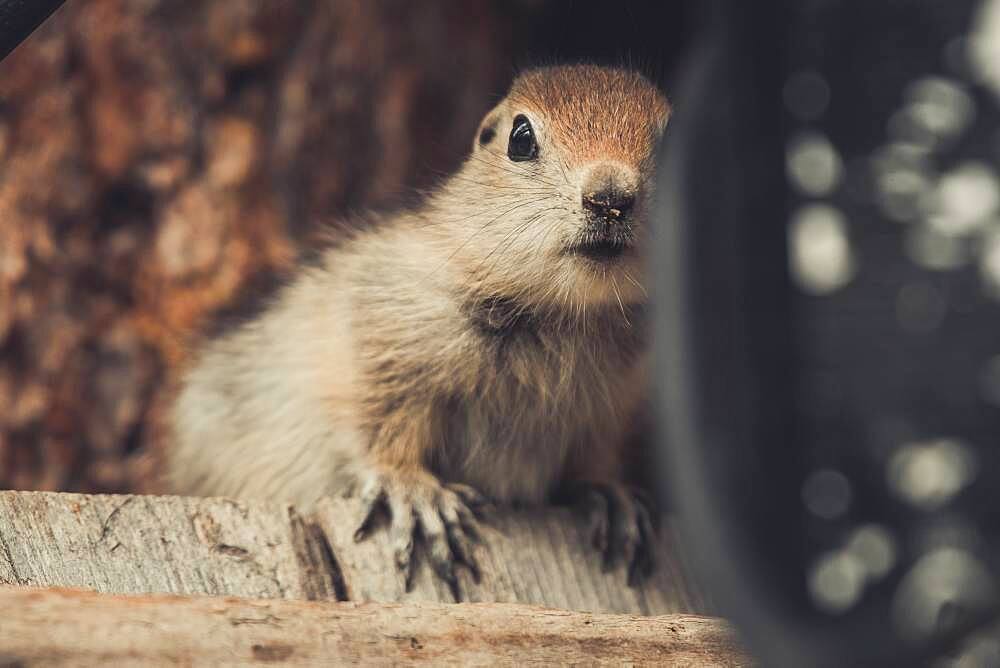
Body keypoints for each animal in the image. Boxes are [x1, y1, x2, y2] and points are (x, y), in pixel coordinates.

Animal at [168, 64, 672, 588]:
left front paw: (611, 495)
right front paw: (413, 492)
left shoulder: (611, 411)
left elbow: (593, 456)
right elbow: (378, 424)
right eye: (521, 138)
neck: (569, 310)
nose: (610, 197)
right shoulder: (380, 338)